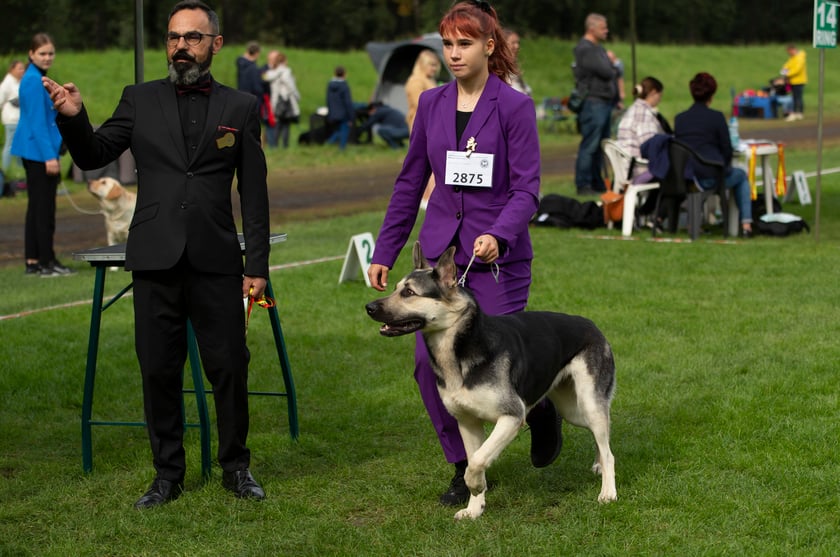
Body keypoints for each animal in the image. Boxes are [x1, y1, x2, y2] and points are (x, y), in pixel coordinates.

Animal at [364, 241, 612, 520]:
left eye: (408, 292)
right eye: (395, 288)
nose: (369, 307)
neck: (459, 350)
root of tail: (592, 325)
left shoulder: (511, 417)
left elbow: (476, 461)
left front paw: (476, 484)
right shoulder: (467, 423)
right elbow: (472, 459)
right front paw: (474, 508)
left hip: (589, 403)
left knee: (608, 450)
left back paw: (608, 492)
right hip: (574, 410)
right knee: (598, 438)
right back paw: (597, 464)